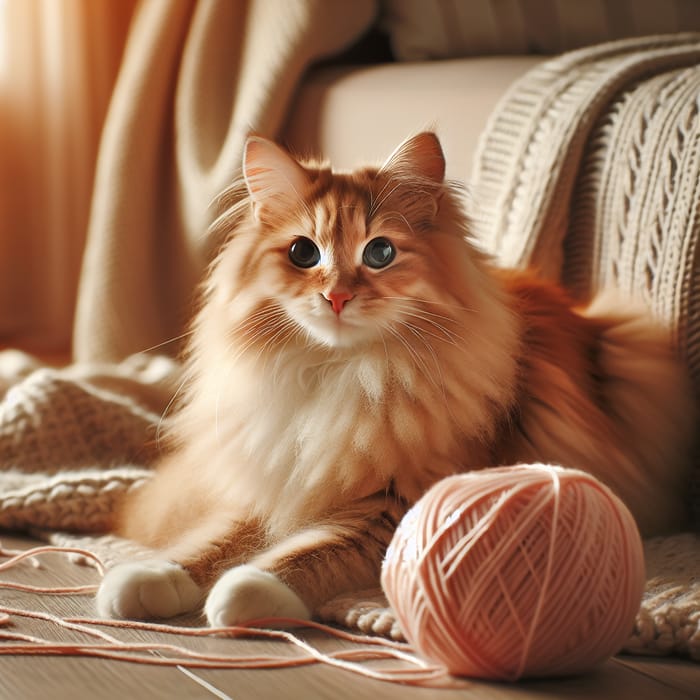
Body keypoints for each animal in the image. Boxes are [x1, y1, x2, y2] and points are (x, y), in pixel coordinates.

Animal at [95, 134, 696, 628]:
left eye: (379, 252)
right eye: (303, 253)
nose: (336, 297)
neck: (342, 377)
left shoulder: (399, 503)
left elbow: (311, 552)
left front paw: (247, 591)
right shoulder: (277, 475)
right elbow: (209, 543)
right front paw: (151, 580)